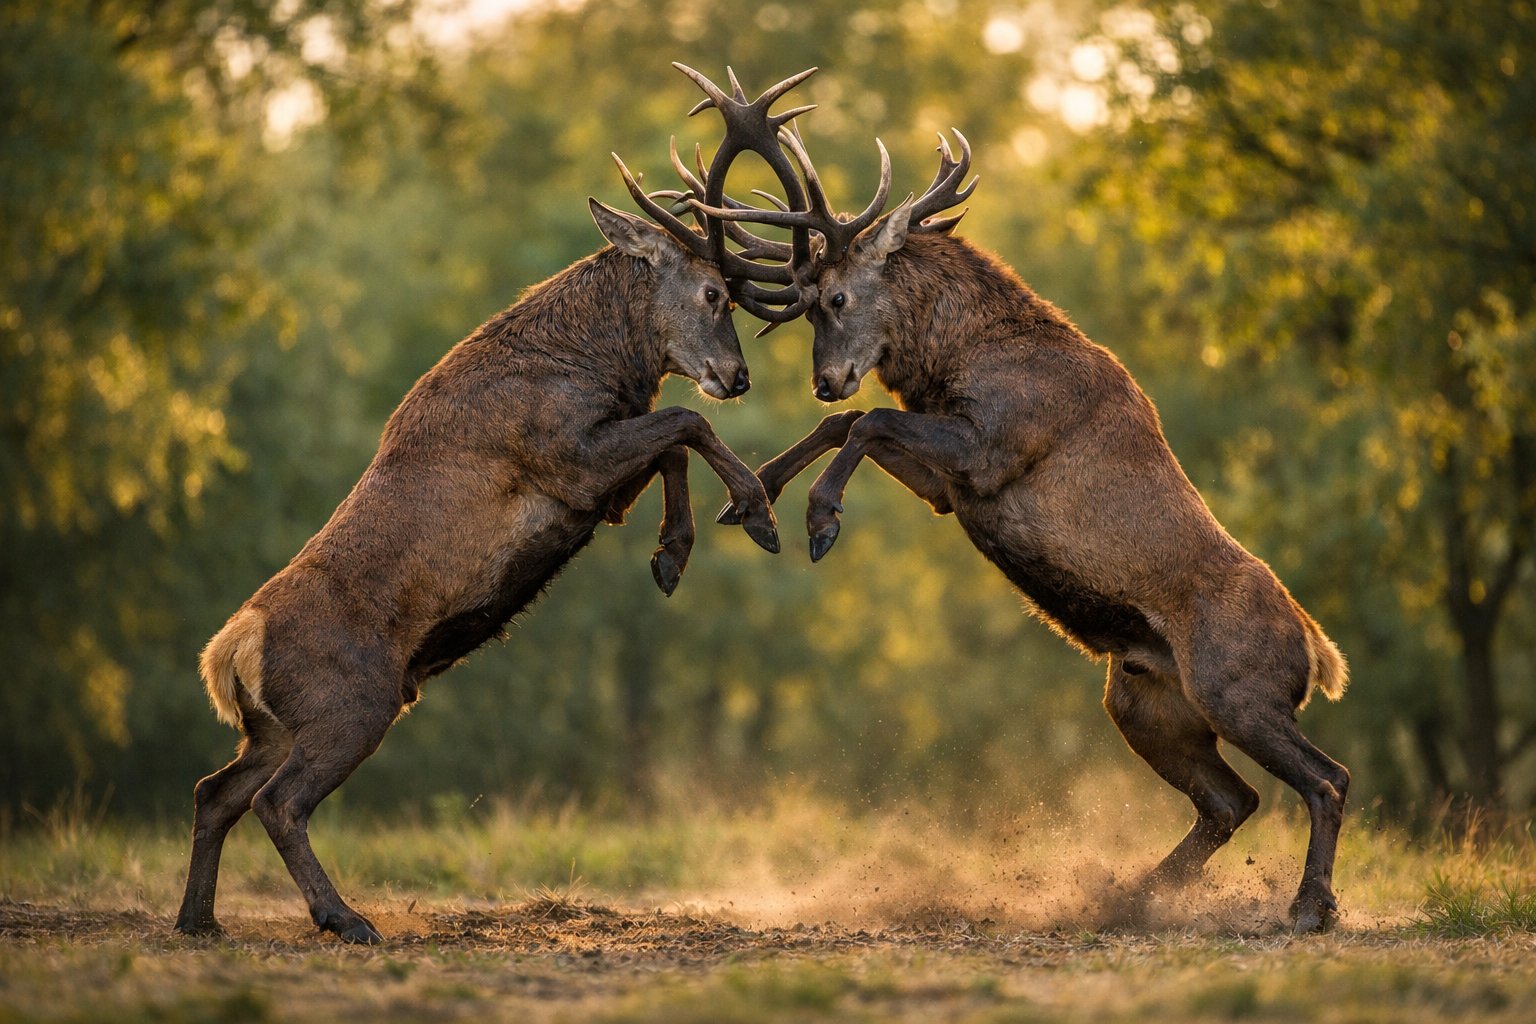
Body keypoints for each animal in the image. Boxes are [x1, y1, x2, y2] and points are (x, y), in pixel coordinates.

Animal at [173, 66, 817, 944]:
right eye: (713, 290)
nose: (739, 375)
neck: (591, 364)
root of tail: (230, 651)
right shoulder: (563, 456)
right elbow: (688, 421)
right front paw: (755, 514)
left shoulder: (596, 480)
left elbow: (674, 444)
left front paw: (670, 555)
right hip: (351, 703)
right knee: (279, 803)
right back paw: (345, 918)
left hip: (274, 725)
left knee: (215, 790)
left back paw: (198, 920)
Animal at [701, 75, 1351, 933]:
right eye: (804, 304)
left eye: (836, 296)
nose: (826, 378)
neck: (962, 360)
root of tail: (1317, 652)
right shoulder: (952, 487)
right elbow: (853, 425)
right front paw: (755, 500)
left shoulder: (997, 448)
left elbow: (867, 420)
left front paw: (819, 520)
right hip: (1144, 703)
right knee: (1231, 799)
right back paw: (1126, 896)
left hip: (1238, 689)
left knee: (1326, 778)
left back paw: (1308, 908)